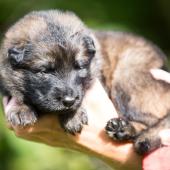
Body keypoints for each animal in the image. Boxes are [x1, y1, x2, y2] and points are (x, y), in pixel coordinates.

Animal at [0, 9, 170, 155]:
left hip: (128, 76)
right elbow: (15, 92)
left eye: (80, 67)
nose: (68, 101)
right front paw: (21, 109)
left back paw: (124, 128)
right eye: (45, 71)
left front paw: (73, 115)